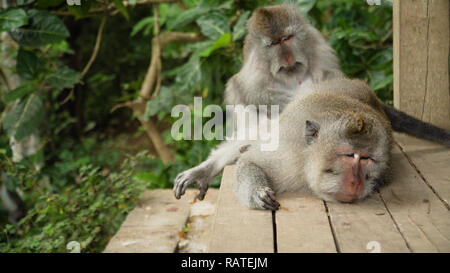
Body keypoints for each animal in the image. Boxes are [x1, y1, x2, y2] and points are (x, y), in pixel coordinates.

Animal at [232, 77, 398, 209]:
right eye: (349, 155)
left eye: (366, 158)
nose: (356, 182)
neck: (307, 162)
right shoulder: (290, 157)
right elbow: (251, 160)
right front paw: (257, 193)